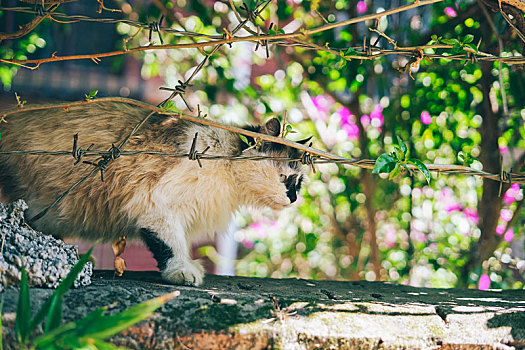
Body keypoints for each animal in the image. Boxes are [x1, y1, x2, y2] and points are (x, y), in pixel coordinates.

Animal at [0, 101, 308, 284]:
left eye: (299, 183)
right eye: (284, 177)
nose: (293, 198)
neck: (225, 160)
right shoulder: (156, 205)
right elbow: (172, 245)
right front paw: (182, 271)